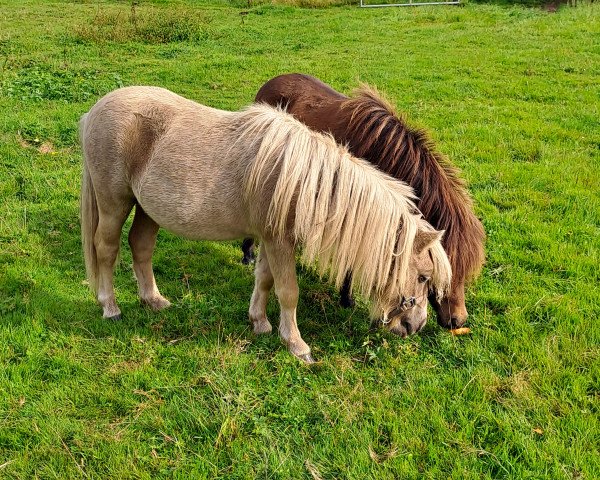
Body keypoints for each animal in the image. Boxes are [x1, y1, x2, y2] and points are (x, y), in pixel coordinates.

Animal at [82, 87, 452, 364]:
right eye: (423, 277)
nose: (416, 325)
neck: (303, 182)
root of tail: (93, 113)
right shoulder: (279, 242)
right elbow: (288, 291)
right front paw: (297, 345)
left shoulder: (268, 239)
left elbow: (263, 280)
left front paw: (259, 323)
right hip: (114, 204)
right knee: (106, 250)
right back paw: (110, 307)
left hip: (148, 210)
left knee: (141, 247)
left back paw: (153, 300)